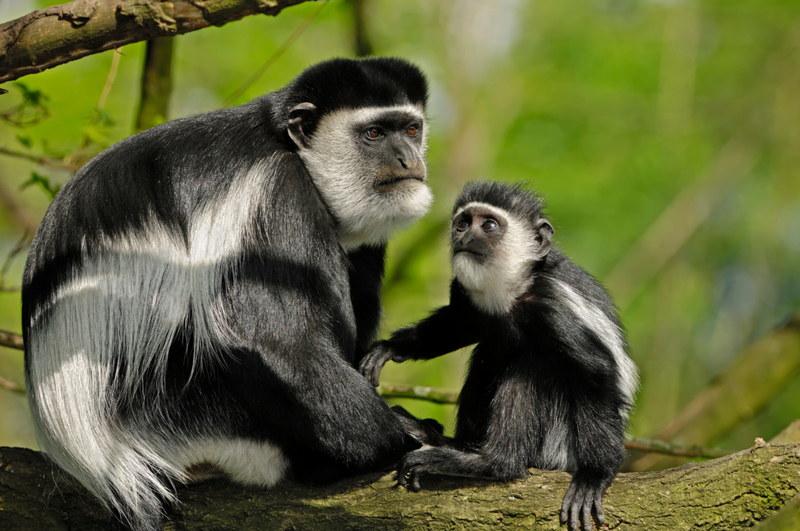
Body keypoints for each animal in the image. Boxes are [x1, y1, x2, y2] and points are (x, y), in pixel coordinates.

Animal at [23, 58, 438, 531]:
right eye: (373, 134)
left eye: (410, 130)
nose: (409, 159)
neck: (284, 141)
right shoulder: (273, 190)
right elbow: (276, 340)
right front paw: (405, 439)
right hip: (195, 418)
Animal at [360, 182, 636, 531]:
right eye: (463, 223)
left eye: (489, 225)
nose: (465, 236)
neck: (513, 288)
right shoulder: (466, 293)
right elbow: (461, 324)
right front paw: (390, 348)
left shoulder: (552, 306)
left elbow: (595, 372)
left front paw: (593, 478)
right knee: (490, 351)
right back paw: (445, 441)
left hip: (558, 443)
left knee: (530, 364)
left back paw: (490, 461)